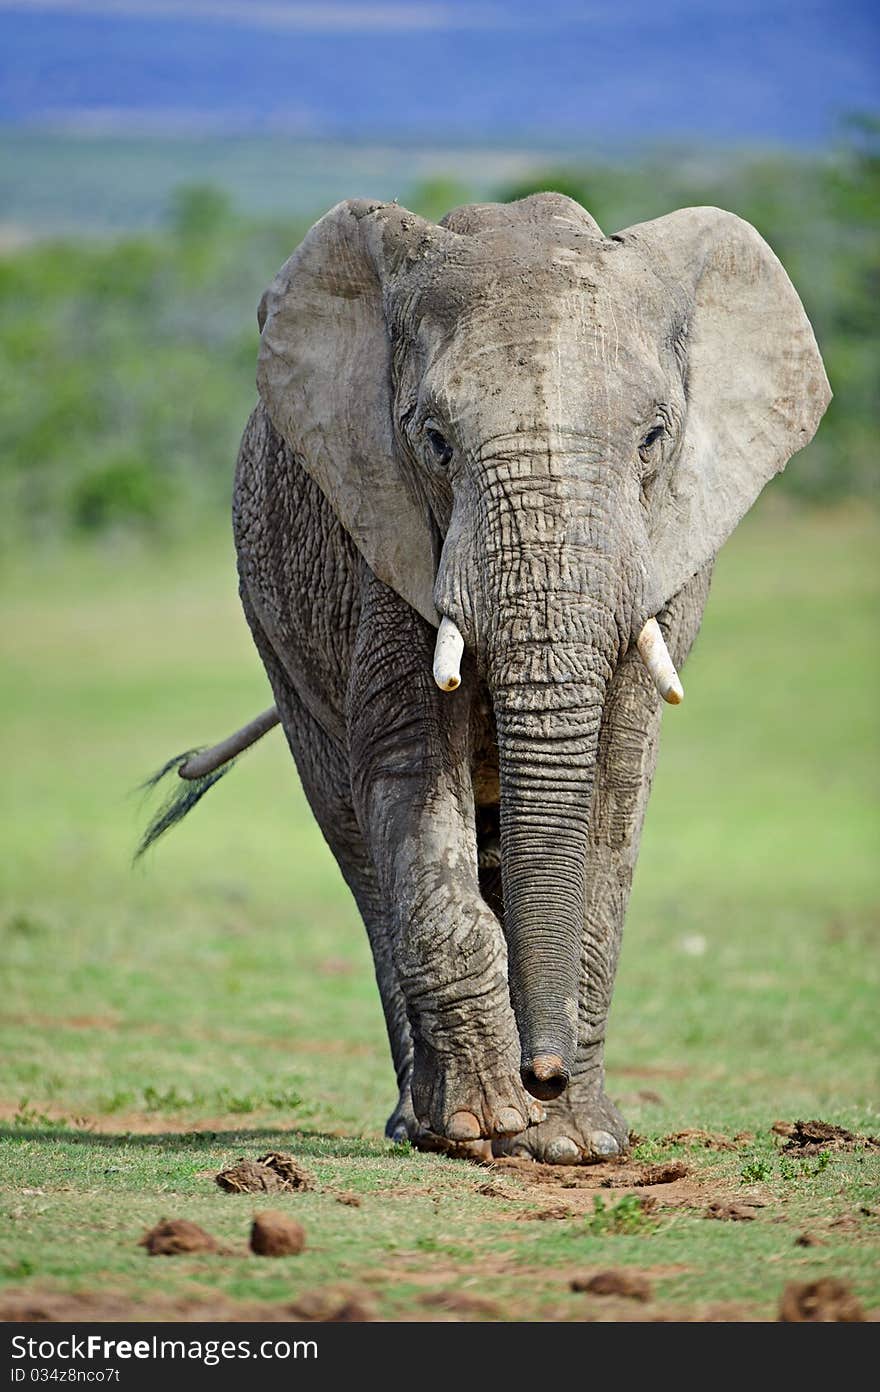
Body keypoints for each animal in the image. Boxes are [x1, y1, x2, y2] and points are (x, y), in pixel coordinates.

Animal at [140, 187, 829, 1163]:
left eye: (654, 438)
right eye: (432, 440)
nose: (546, 1075)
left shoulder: (663, 560)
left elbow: (615, 786)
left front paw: (577, 1144)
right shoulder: (383, 529)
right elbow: (408, 766)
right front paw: (494, 1125)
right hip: (274, 622)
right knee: (353, 835)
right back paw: (427, 1128)